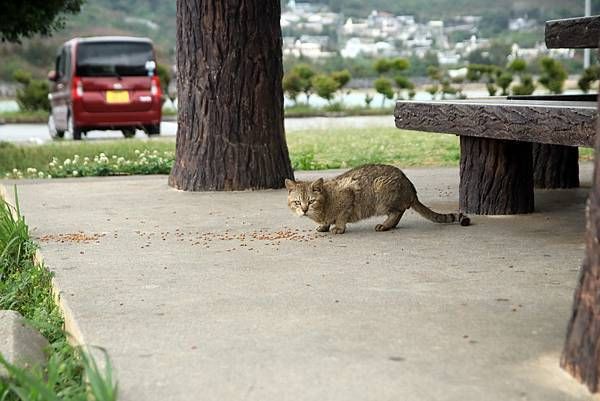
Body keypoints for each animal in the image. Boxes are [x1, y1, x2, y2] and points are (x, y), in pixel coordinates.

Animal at [284, 162, 468, 233]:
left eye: (311, 201)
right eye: (297, 202)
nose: (304, 209)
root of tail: (410, 188)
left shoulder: (348, 196)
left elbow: (341, 216)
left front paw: (338, 227)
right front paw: (324, 225)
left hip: (382, 195)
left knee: (398, 211)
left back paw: (386, 225)